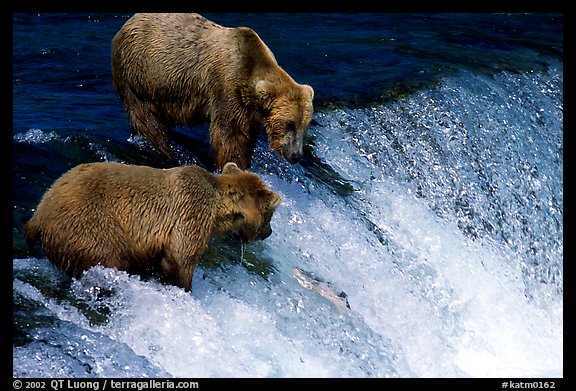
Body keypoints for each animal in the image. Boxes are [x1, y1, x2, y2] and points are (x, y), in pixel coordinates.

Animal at [24, 161, 282, 292]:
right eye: (270, 215)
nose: (269, 233)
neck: (218, 207)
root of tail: (37, 217)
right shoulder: (190, 211)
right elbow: (180, 258)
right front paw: (183, 288)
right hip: (89, 223)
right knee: (110, 256)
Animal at [111, 13, 316, 170]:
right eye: (289, 124)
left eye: (304, 125)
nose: (296, 155)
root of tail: (127, 23)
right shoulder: (226, 89)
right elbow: (229, 136)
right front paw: (234, 163)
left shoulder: (249, 110)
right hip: (139, 74)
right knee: (146, 116)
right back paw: (163, 147)